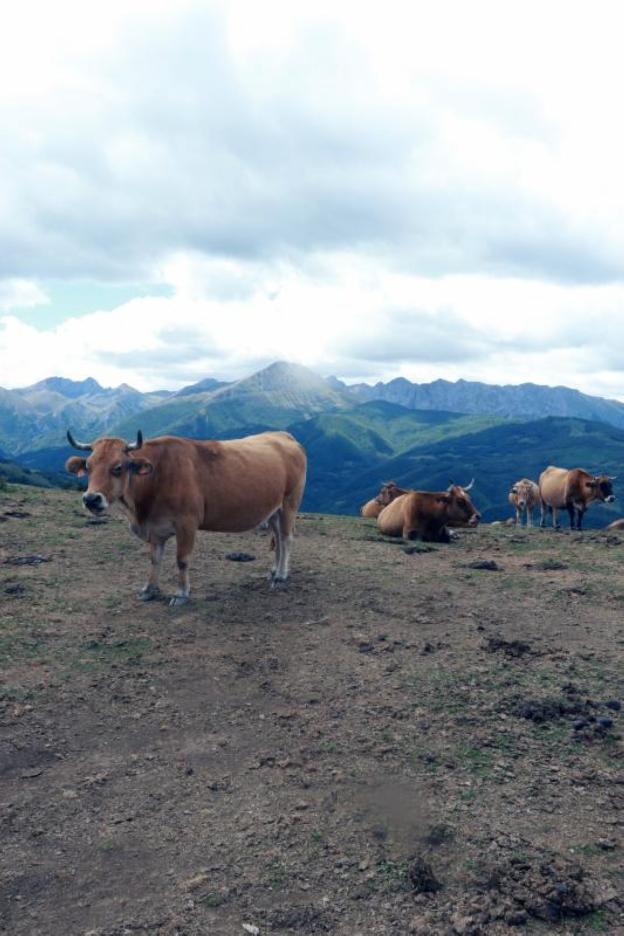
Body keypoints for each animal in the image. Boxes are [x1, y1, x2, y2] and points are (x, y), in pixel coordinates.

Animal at [66, 428, 308, 604]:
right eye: (88, 466)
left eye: (118, 467)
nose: (91, 499)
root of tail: (282, 435)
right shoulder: (155, 528)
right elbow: (155, 559)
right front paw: (149, 589)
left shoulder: (187, 523)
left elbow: (181, 560)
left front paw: (181, 593)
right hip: (273, 510)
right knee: (278, 539)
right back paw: (274, 571)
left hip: (290, 502)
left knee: (286, 539)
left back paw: (281, 576)